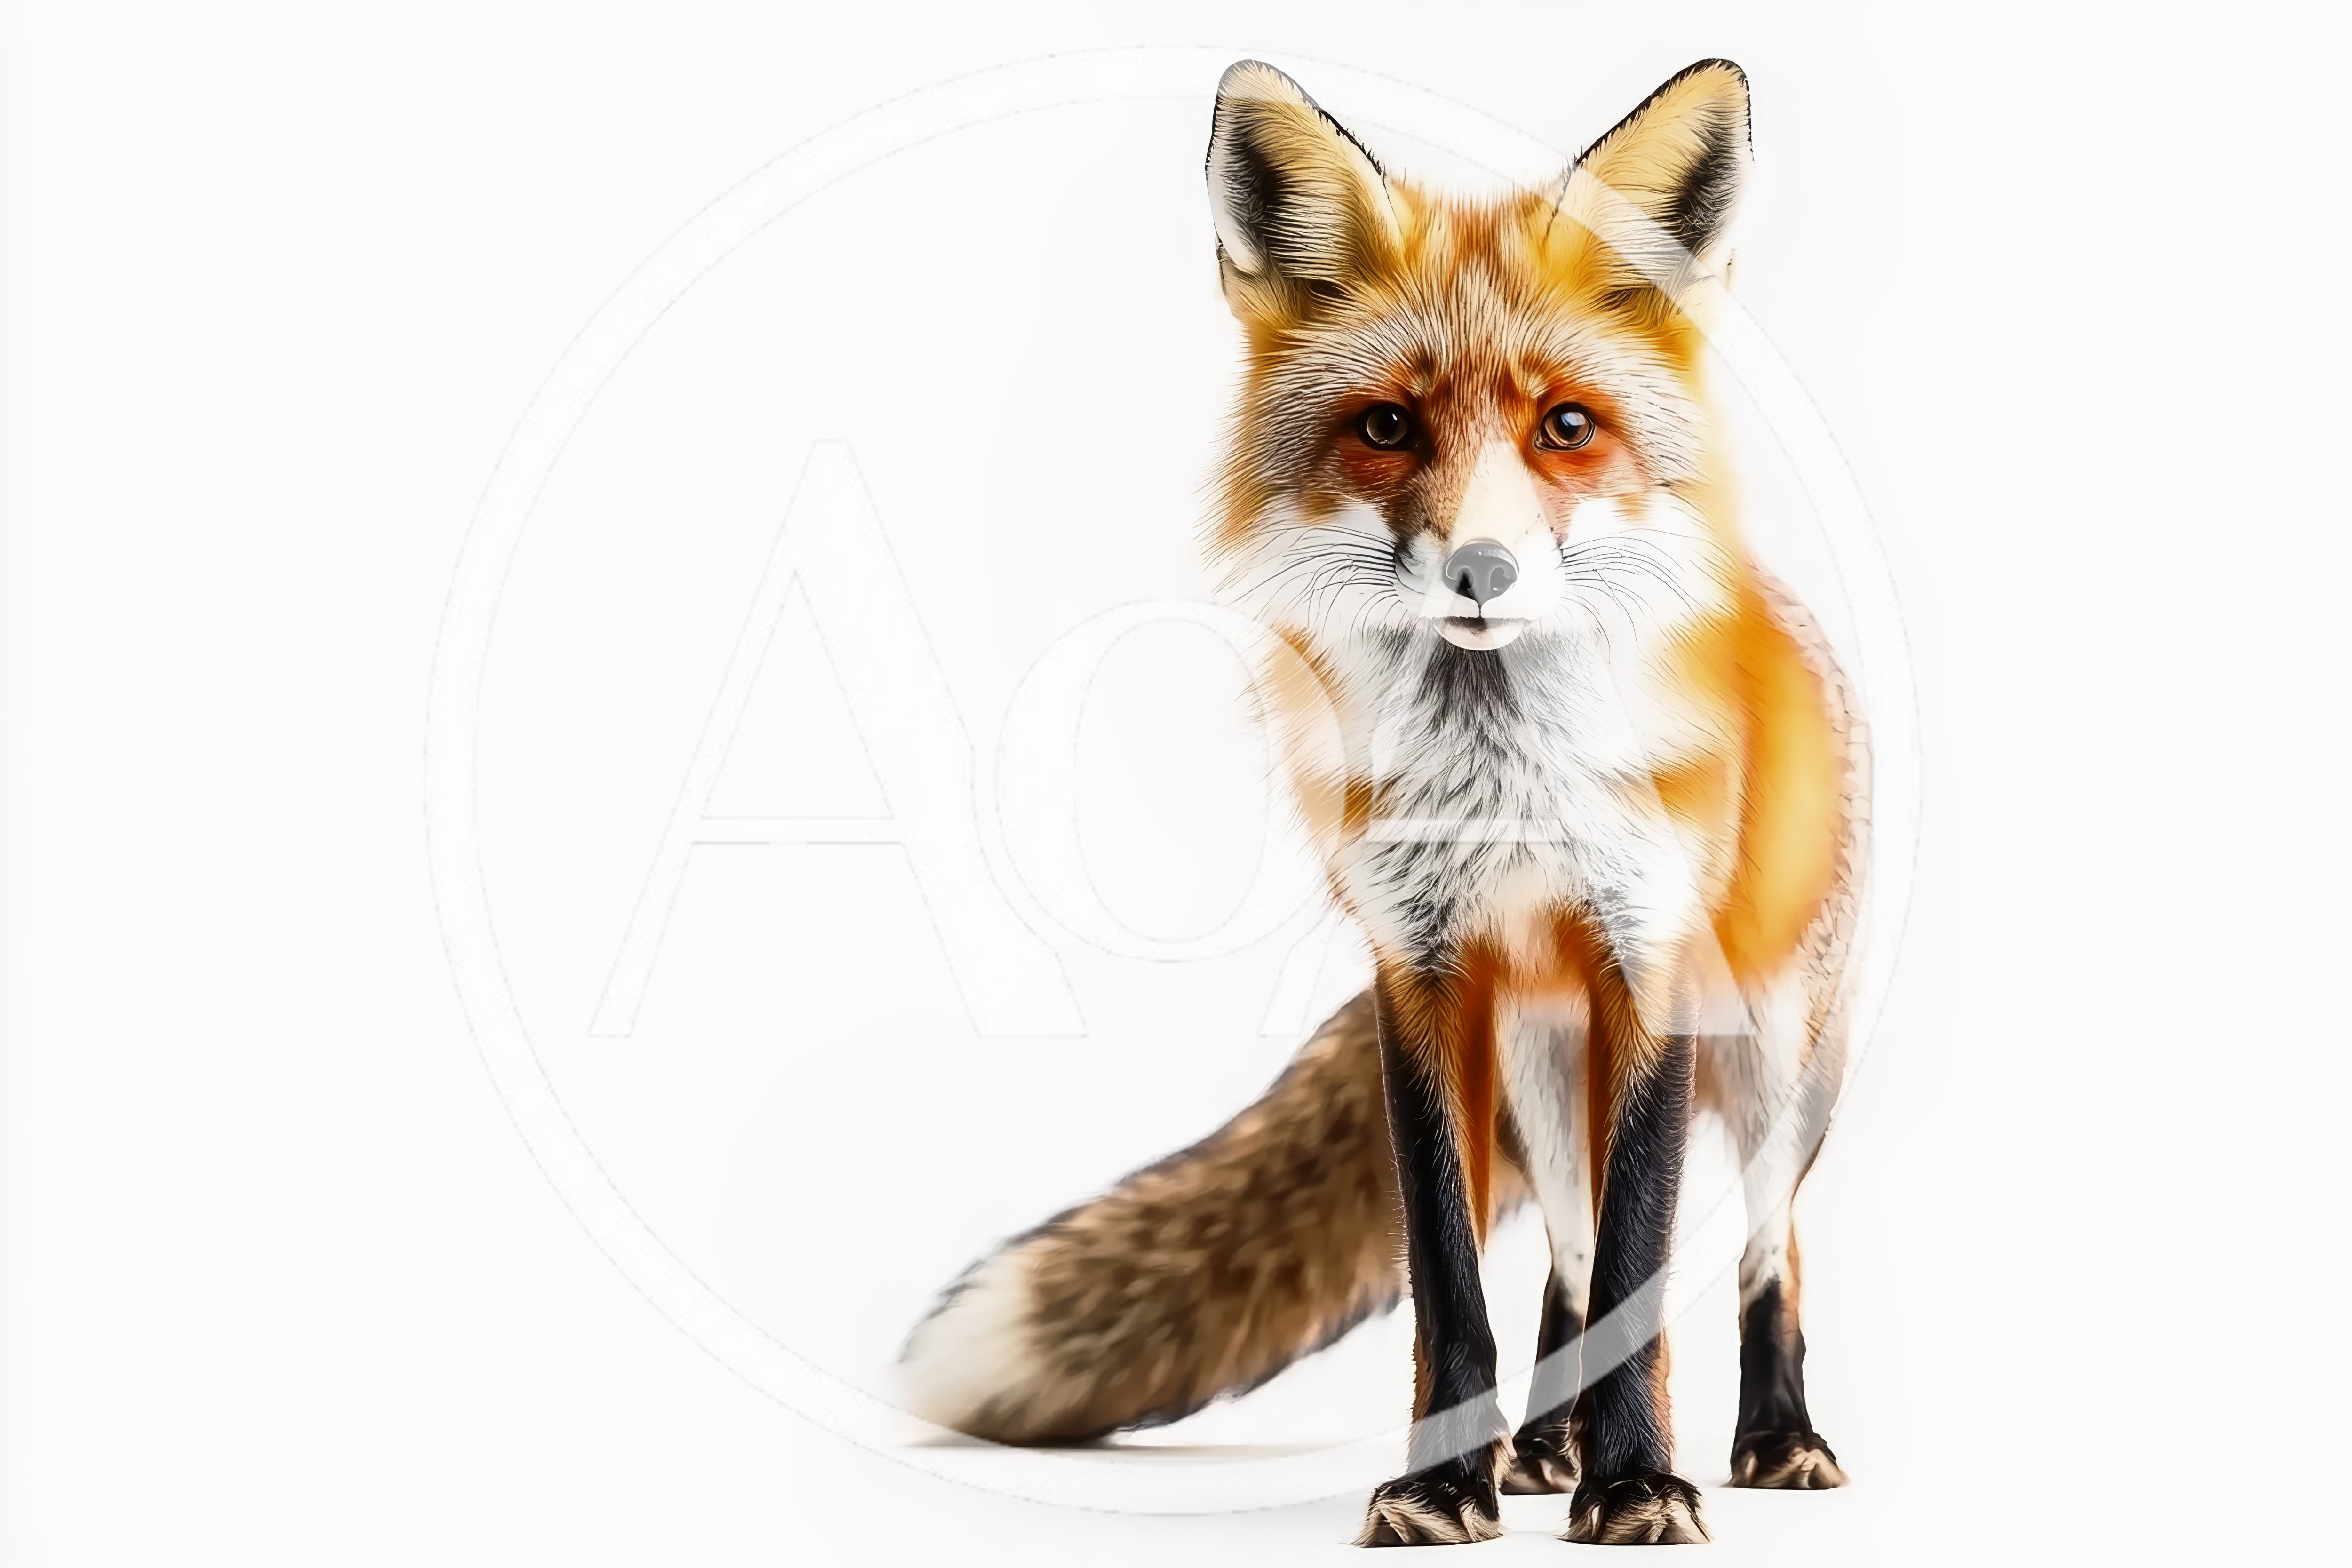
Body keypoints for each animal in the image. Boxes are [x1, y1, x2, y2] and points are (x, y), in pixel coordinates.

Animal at [901, 59, 1868, 1547]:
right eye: (1388, 426)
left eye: (1566, 427)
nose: (1481, 566)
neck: (1501, 791)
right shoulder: (1421, 977)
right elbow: (1457, 1281)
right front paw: (1444, 1484)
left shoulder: (1647, 967)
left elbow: (1647, 1267)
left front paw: (1640, 1483)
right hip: (1542, 1080)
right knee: (1569, 1261)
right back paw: (1543, 1447)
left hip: (1777, 1062)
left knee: (1772, 1252)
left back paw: (1776, 1437)